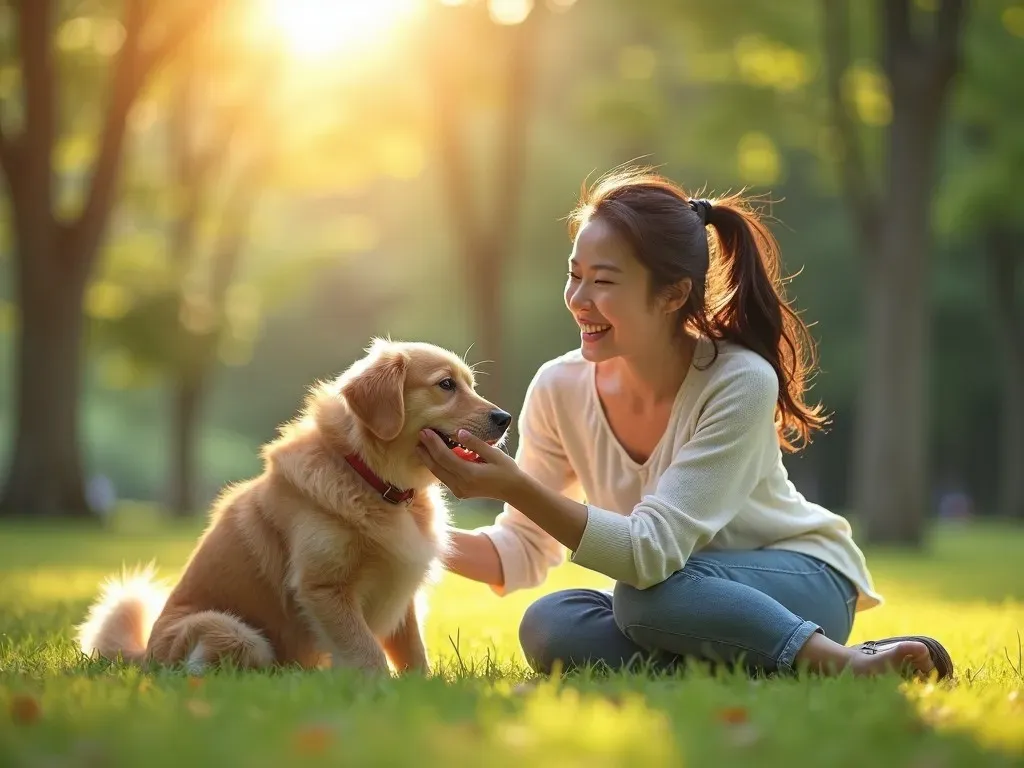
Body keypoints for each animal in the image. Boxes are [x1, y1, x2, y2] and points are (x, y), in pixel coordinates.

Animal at [76, 339, 512, 675]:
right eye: (446, 385)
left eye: (470, 384)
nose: (505, 417)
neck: (369, 476)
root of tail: (145, 655)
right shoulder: (323, 587)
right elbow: (367, 653)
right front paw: (378, 693)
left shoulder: (399, 587)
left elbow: (413, 652)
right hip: (233, 632)